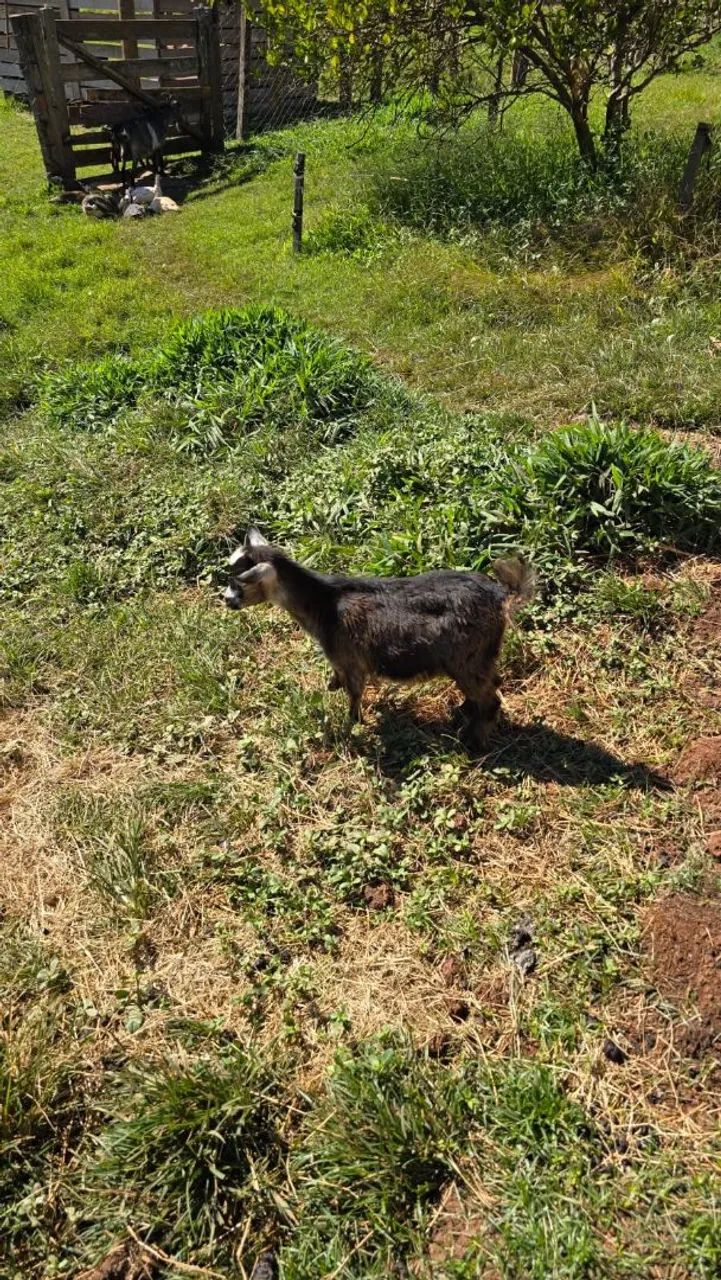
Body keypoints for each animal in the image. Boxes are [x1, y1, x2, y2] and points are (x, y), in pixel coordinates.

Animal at [223, 529, 535, 743]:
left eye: (239, 582)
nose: (226, 600)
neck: (325, 604)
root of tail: (500, 595)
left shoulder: (352, 661)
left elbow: (354, 694)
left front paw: (352, 724)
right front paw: (332, 685)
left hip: (466, 659)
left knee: (489, 699)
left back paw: (472, 740)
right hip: (481, 656)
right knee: (492, 684)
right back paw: (463, 712)